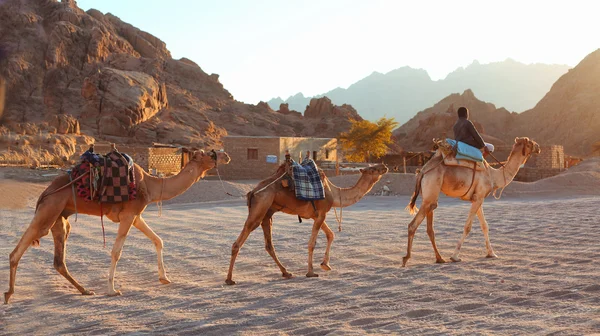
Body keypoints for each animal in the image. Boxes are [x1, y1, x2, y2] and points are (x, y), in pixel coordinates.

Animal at [4, 148, 230, 304]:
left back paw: (85, 290)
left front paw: (164, 278)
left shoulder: (136, 215)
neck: (151, 185)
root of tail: (45, 192)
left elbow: (158, 240)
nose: (225, 155)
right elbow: (116, 252)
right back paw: (8, 294)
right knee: (19, 249)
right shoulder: (129, 215)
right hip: (50, 209)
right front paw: (112, 289)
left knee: (59, 260)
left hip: (60, 218)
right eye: (208, 152)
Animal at [226, 164, 390, 284]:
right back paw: (229, 279)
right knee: (239, 240)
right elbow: (312, 243)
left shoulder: (316, 215)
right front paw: (311, 272)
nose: (385, 166)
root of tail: (252, 191)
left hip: (267, 214)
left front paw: (325, 265)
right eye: (373, 169)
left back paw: (286, 272)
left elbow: (331, 234)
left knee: (269, 245)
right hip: (260, 207)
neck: (334, 193)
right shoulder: (321, 213)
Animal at [400, 135, 540, 266]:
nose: (538, 147)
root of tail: (422, 172)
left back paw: (439, 258)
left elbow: (485, 226)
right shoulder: (478, 198)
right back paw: (406, 259)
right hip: (430, 191)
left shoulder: (478, 198)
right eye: (529, 142)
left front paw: (492, 253)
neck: (493, 176)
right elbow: (468, 227)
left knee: (430, 227)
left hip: (430, 196)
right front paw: (455, 256)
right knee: (413, 225)